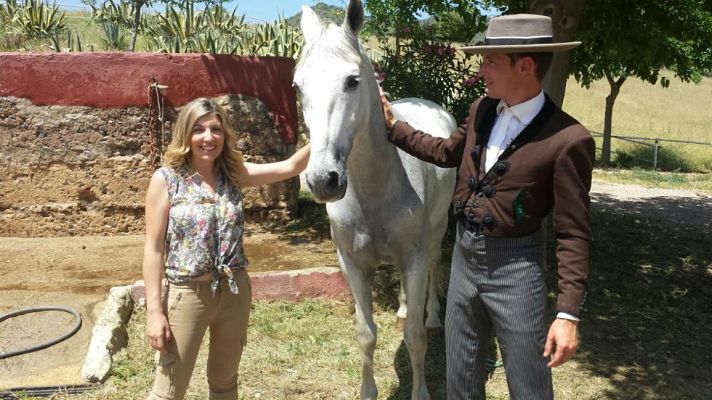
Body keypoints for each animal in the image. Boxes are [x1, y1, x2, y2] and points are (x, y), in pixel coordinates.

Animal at [294, 1, 456, 399]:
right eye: (298, 86)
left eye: (353, 80)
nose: (322, 180)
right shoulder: (352, 265)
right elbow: (365, 335)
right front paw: (368, 390)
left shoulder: (414, 258)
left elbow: (415, 338)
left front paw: (421, 392)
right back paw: (402, 308)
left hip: (436, 231)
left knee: (435, 265)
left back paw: (432, 314)